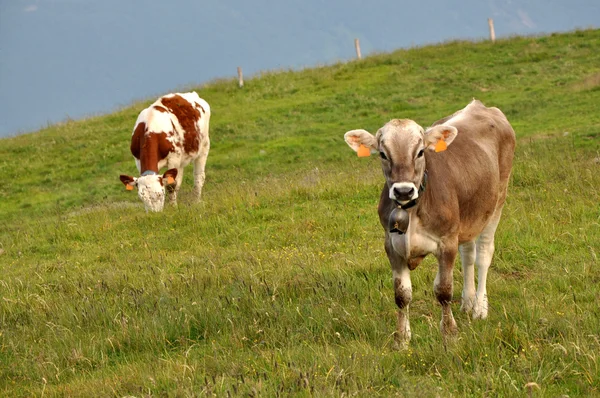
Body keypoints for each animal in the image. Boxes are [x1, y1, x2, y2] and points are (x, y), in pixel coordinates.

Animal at [344, 99, 516, 342]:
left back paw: (479, 308)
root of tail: (479, 106)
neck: (412, 210)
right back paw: (467, 302)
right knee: (468, 254)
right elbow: (402, 295)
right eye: (383, 154)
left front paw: (449, 333)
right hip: (467, 218)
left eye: (420, 152)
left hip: (497, 201)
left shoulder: (446, 242)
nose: (403, 191)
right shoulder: (392, 246)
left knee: (483, 254)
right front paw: (402, 339)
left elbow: (443, 290)